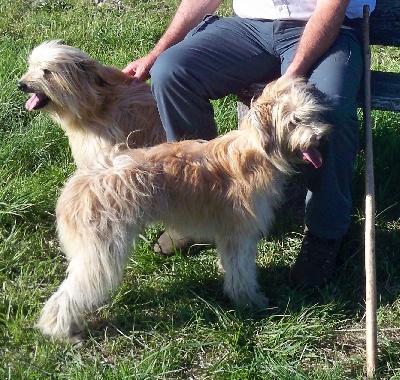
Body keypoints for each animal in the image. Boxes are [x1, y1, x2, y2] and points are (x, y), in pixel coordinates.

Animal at [35, 77, 332, 342]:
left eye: (311, 115)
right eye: (294, 121)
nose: (320, 137)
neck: (256, 153)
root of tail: (73, 190)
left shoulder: (230, 237)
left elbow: (233, 267)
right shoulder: (239, 234)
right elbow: (242, 271)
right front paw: (249, 300)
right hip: (100, 251)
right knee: (70, 293)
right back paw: (61, 330)